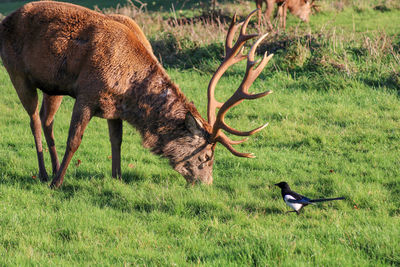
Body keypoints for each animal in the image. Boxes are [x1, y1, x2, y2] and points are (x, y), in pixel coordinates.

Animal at [0, 2, 272, 191]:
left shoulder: (113, 107)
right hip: (17, 72)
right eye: (206, 156)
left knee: (47, 119)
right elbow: (74, 140)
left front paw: (117, 176)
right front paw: (57, 184)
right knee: (34, 120)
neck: (127, 88)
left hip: (53, 86)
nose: (207, 184)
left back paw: (54, 167)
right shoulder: (87, 93)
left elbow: (116, 141)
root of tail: (5, 19)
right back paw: (46, 174)